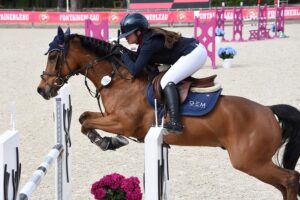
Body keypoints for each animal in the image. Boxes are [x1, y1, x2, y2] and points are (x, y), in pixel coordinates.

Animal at [37, 27, 300, 200]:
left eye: (54, 56)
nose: (42, 90)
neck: (117, 80)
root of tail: (268, 111)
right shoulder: (112, 118)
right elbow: (84, 118)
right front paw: (109, 141)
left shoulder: (123, 122)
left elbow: (87, 121)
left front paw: (105, 141)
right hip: (256, 163)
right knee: (285, 183)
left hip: (250, 161)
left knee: (290, 179)